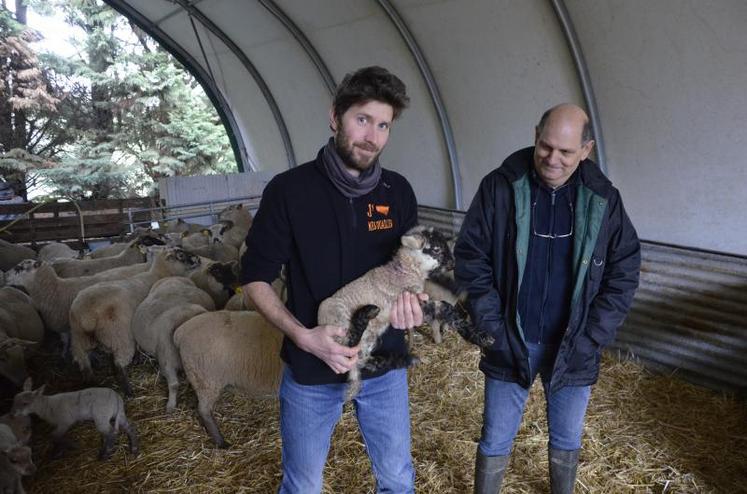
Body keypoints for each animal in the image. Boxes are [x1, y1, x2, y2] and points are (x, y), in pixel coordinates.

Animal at [67, 249, 200, 396]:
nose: (198, 259)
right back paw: (128, 390)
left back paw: (92, 383)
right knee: (119, 364)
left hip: (79, 338)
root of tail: (86, 316)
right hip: (119, 336)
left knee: (84, 363)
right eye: (180, 255)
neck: (158, 274)